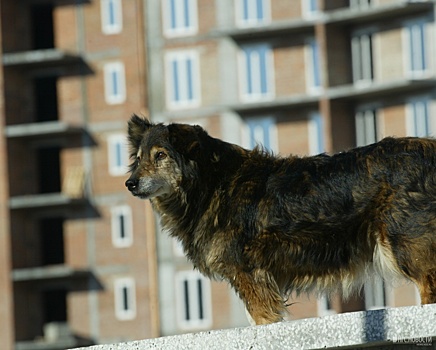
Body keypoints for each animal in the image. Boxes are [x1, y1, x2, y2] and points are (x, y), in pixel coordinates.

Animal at [125, 115, 436, 326]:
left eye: (161, 155)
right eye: (138, 159)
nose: (130, 183)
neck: (211, 184)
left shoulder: (250, 274)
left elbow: (262, 320)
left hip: (406, 247)